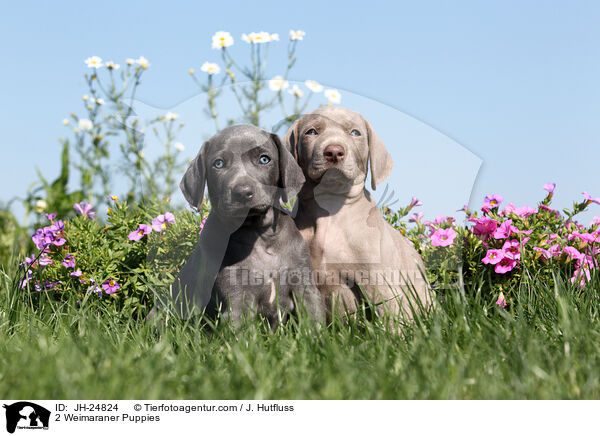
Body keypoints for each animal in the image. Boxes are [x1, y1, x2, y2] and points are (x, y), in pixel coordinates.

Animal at [166, 124, 326, 326]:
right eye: (218, 164)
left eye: (264, 159)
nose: (242, 192)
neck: (258, 232)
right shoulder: (236, 296)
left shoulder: (304, 284)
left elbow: (314, 320)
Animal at [284, 105, 434, 320]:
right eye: (311, 132)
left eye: (355, 133)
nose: (334, 152)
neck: (329, 210)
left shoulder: (377, 281)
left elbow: (390, 316)